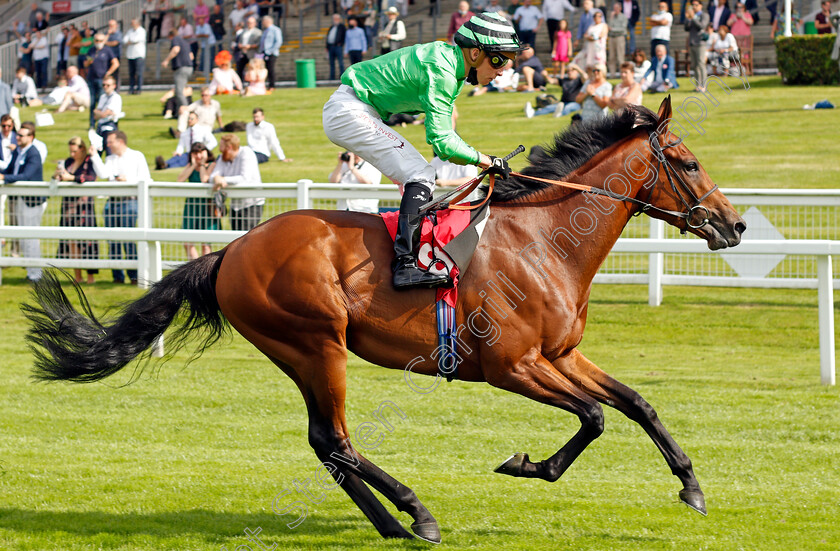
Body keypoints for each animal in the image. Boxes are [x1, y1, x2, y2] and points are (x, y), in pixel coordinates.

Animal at [24, 98, 748, 544]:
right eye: (688, 162)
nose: (735, 224)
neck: (544, 239)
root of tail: (231, 248)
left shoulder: (561, 356)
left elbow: (636, 403)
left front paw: (691, 486)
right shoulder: (511, 366)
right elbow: (594, 417)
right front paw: (526, 464)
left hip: (303, 350)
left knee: (327, 444)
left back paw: (395, 524)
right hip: (315, 343)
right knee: (334, 439)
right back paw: (416, 514)